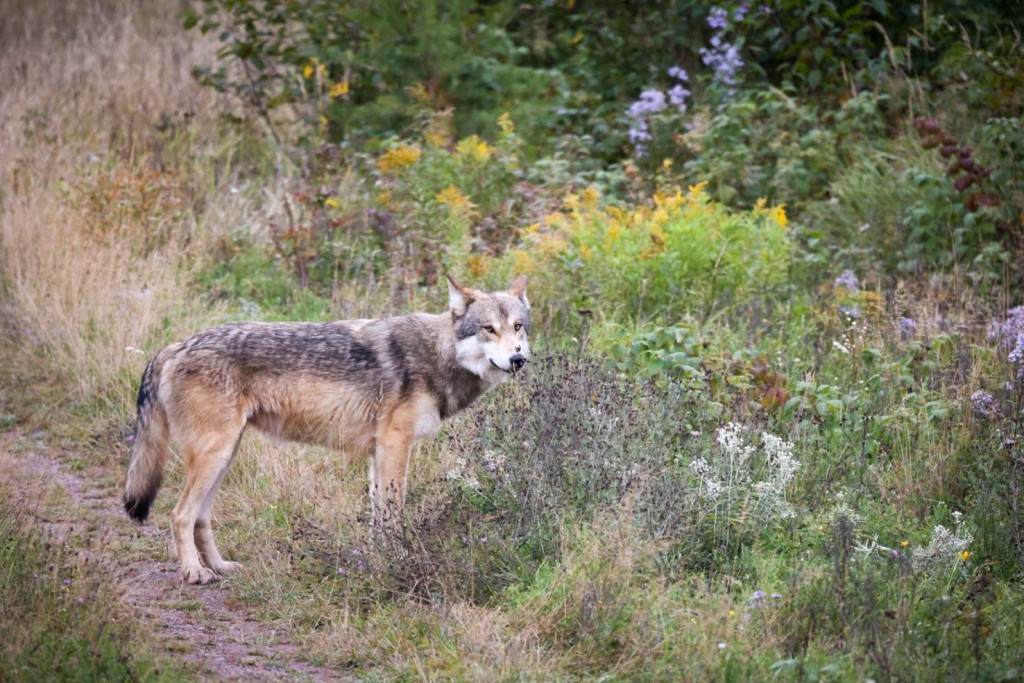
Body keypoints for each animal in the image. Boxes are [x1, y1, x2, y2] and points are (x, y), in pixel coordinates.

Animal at [123, 275, 530, 584]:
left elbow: (378, 518)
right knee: (180, 515)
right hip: (214, 456)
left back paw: (220, 566)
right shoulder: (395, 445)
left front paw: (379, 561)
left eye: (517, 327)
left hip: (224, 457)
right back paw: (194, 573)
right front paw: (398, 561)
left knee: (201, 518)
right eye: (488, 329)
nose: (518, 358)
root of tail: (176, 346)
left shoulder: (379, 454)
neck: (436, 354)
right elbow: (394, 515)